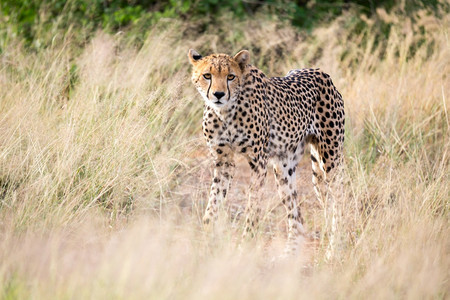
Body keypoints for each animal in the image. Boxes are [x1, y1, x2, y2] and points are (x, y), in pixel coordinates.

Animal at [186, 48, 344, 255]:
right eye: (207, 75)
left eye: (230, 76)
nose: (218, 94)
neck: (226, 111)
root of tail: (320, 72)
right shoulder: (223, 160)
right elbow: (213, 201)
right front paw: (206, 239)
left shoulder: (258, 162)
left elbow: (252, 206)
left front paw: (245, 244)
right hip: (285, 169)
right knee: (297, 216)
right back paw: (289, 254)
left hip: (329, 161)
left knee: (338, 203)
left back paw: (333, 251)